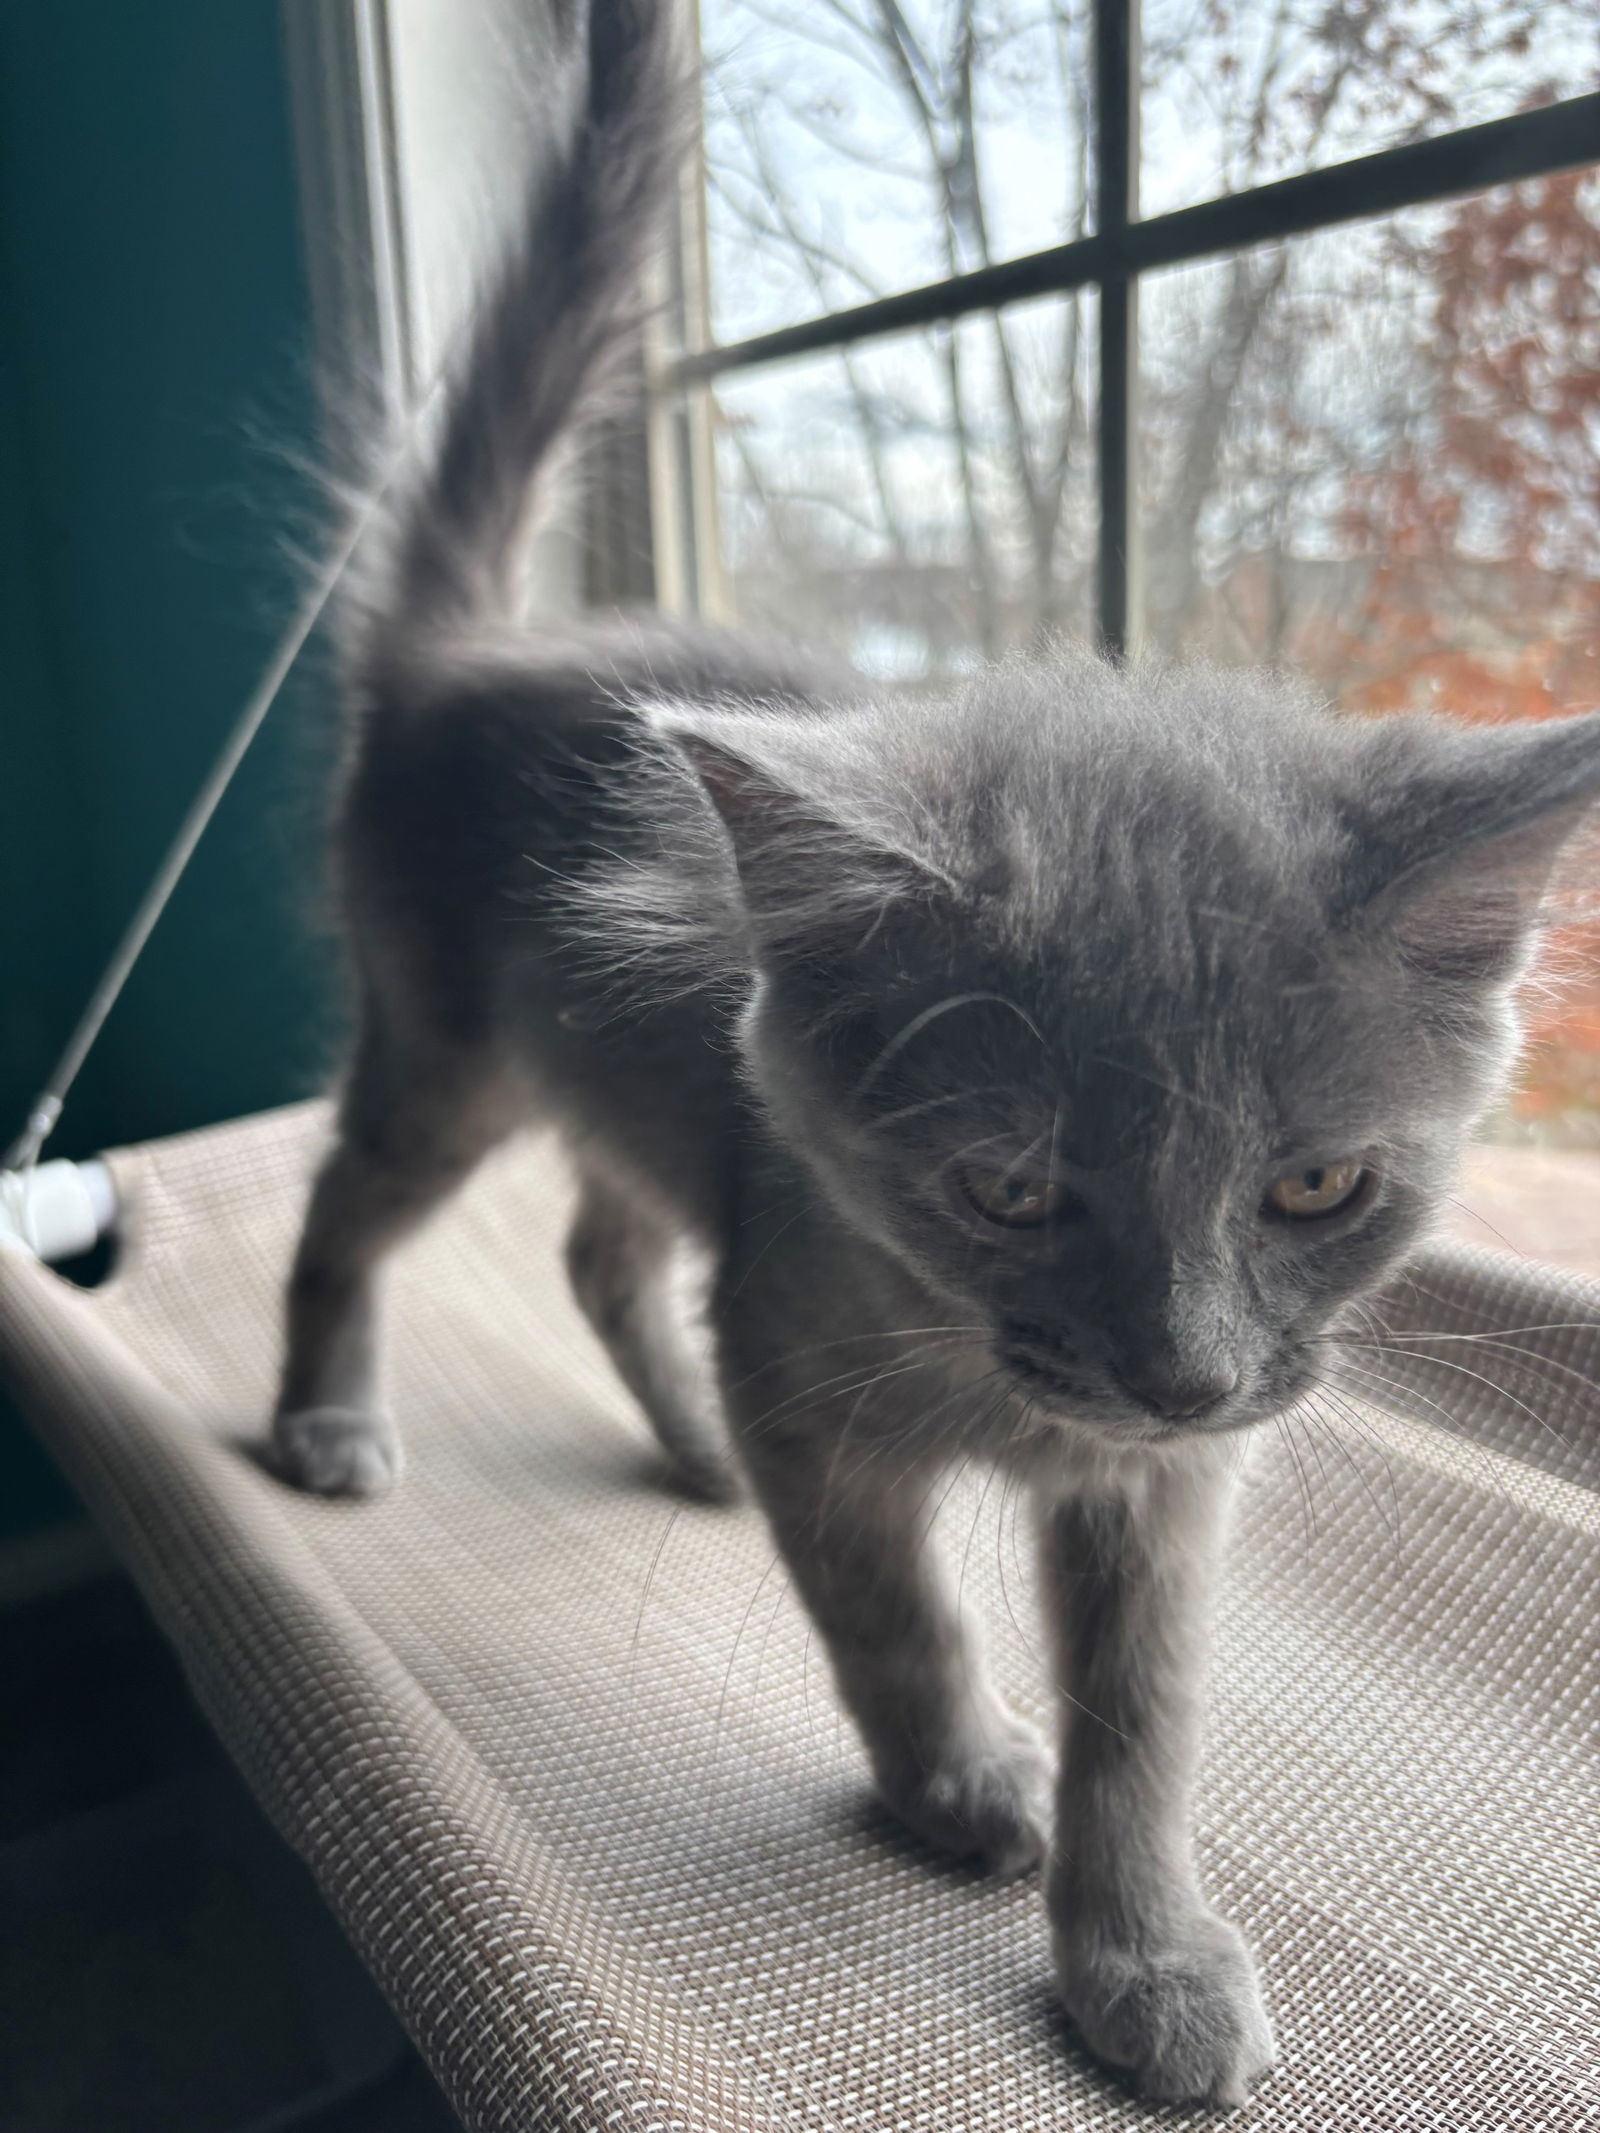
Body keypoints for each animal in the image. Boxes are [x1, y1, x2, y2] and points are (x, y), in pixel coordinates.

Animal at [281, 0, 1600, 2098]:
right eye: (1007, 1186)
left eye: (1318, 1183)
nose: (1182, 1374)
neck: (1003, 1384)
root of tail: (466, 652)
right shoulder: (810, 1350)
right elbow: (888, 1606)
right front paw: (962, 1773)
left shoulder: (1160, 1492)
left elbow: (1146, 1719)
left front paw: (1143, 1954)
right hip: (445, 1055)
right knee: (349, 1207)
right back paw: (326, 1414)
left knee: (599, 1242)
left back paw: (686, 1442)